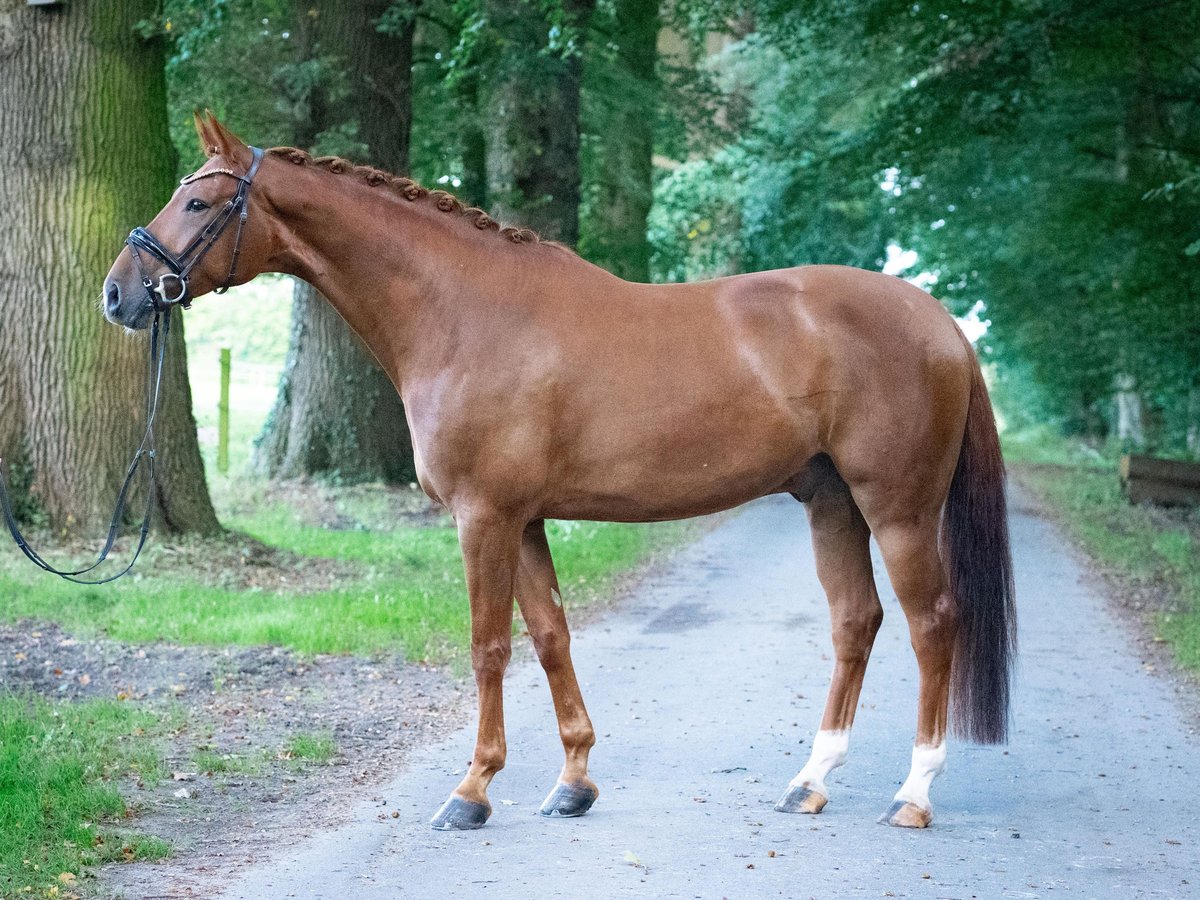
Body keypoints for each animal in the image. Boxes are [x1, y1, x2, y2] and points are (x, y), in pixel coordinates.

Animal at [108, 116, 1017, 835]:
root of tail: (940, 322)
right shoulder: (527, 519)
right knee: (855, 622)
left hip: (897, 510)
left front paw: (471, 792)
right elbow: (550, 638)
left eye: (198, 203)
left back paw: (913, 794)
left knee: (932, 624)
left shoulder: (483, 516)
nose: (120, 295)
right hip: (832, 502)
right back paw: (810, 782)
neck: (465, 313)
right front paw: (573, 783)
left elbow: (488, 648)